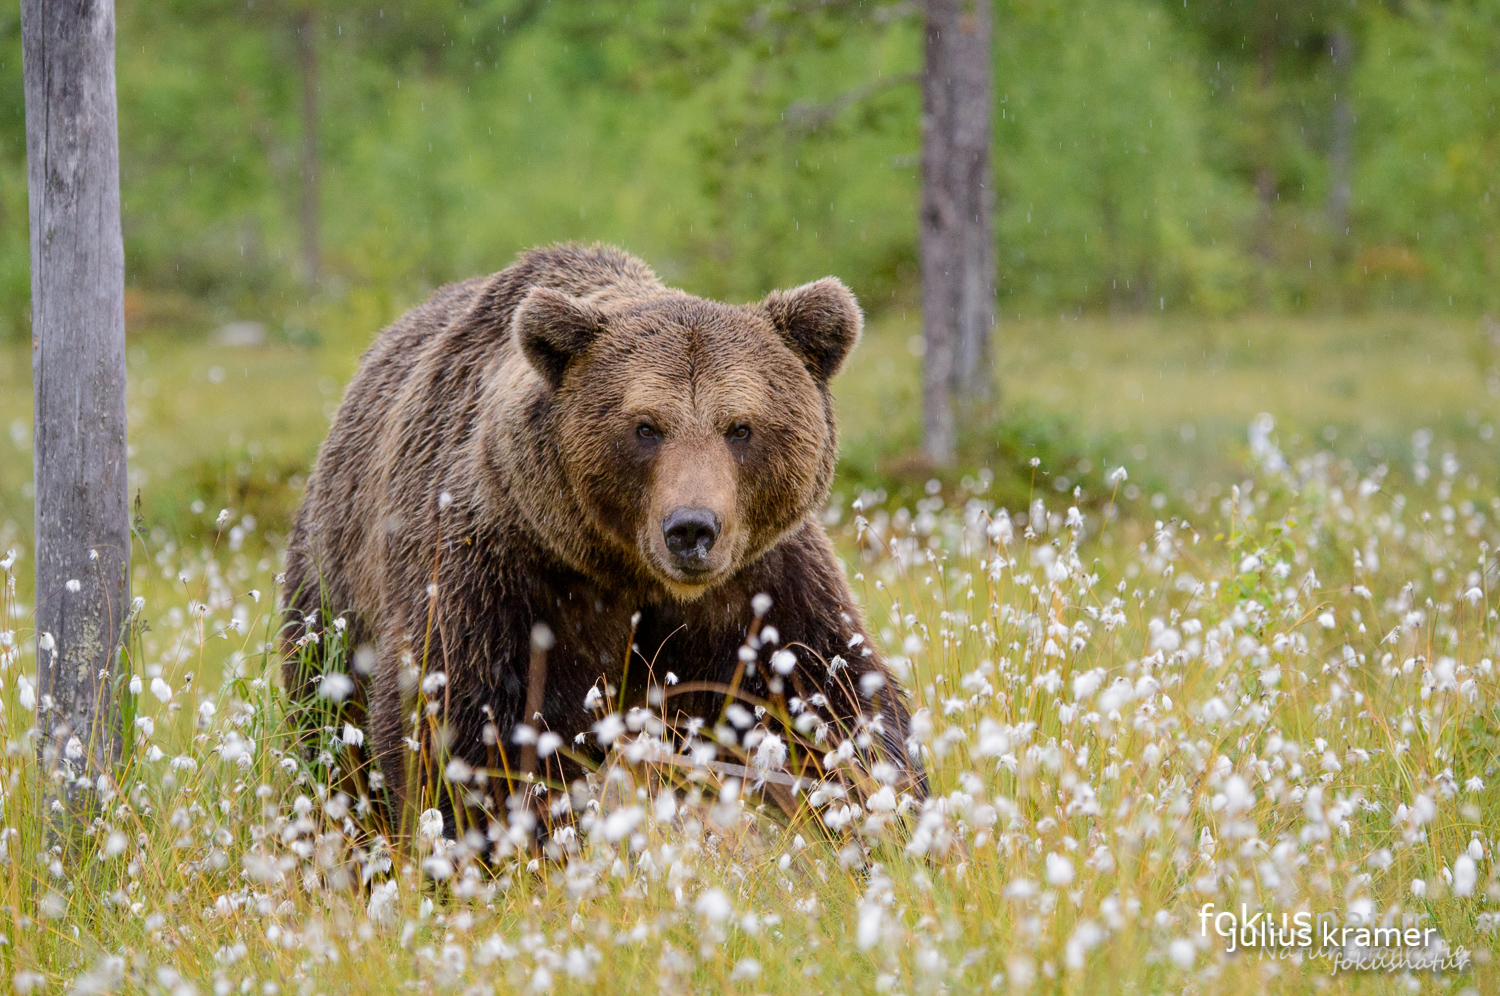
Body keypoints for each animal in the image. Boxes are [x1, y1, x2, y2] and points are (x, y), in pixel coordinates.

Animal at [277, 243, 918, 822]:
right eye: (645, 427)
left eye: (740, 427)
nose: (691, 529)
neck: (630, 572)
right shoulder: (505, 571)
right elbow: (469, 721)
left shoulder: (759, 583)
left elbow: (826, 693)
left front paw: (881, 811)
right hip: (335, 590)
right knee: (329, 720)